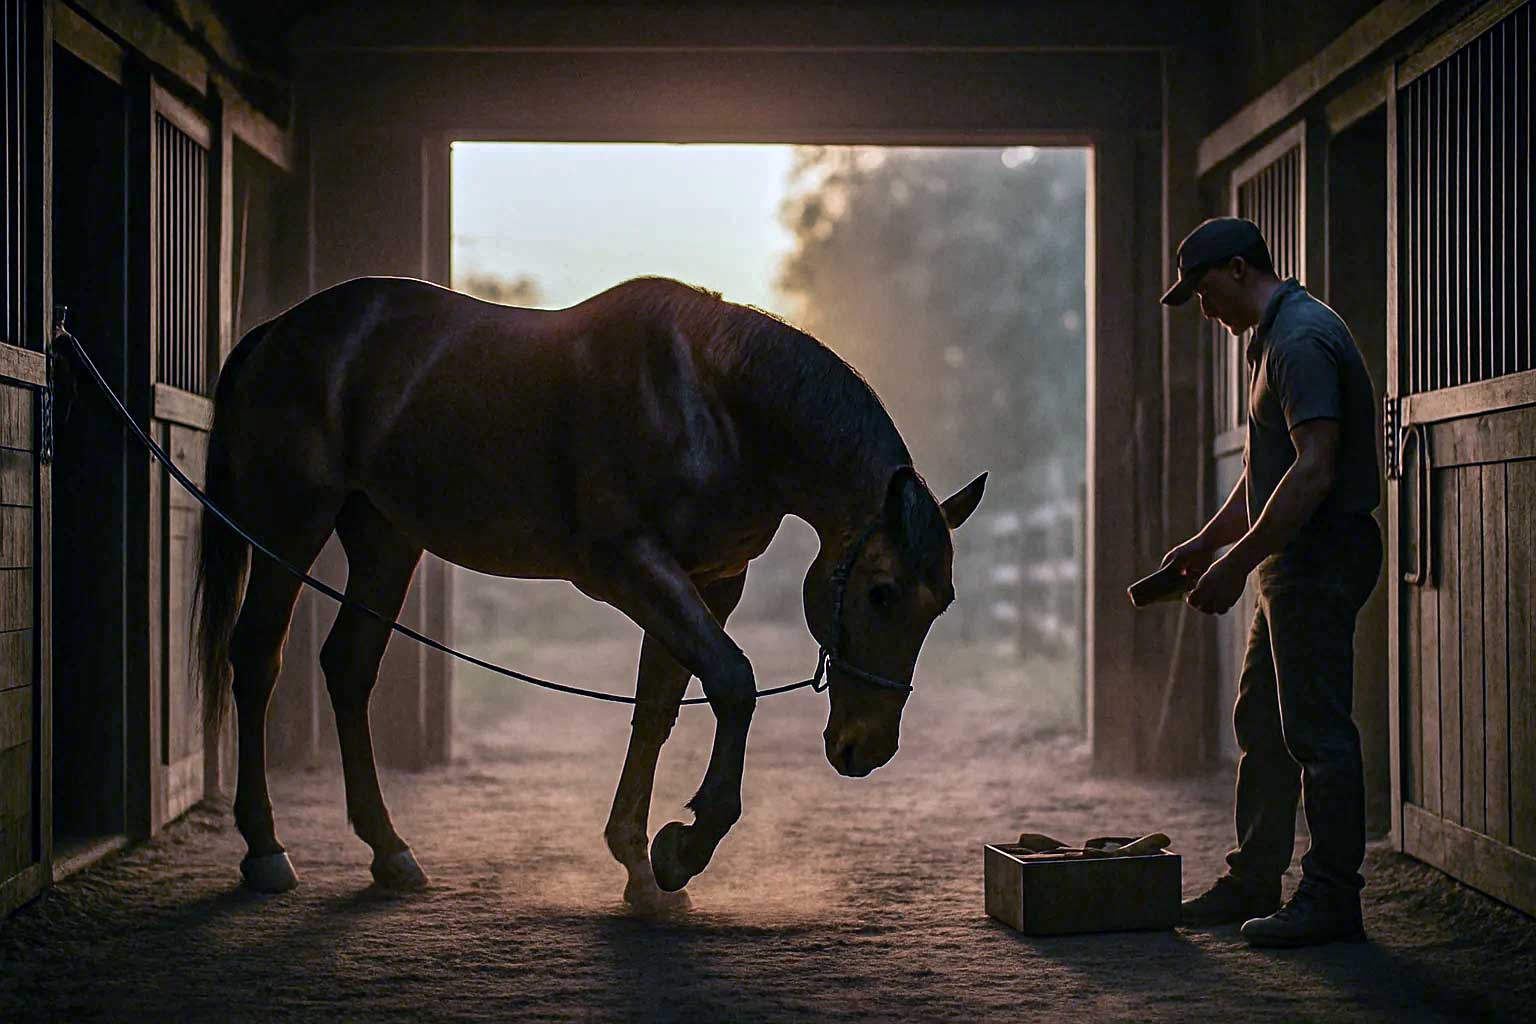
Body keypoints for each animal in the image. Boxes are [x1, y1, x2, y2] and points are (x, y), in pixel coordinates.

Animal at [195, 275, 986, 908]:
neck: (713, 403)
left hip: (385, 537)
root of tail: (278, 331)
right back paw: (265, 851)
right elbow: (733, 683)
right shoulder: (630, 568)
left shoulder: (707, 584)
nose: (867, 747)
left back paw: (389, 852)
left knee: (350, 667)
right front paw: (682, 849)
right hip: (292, 521)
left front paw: (639, 864)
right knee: (258, 658)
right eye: (881, 592)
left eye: (940, 604)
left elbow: (656, 709)